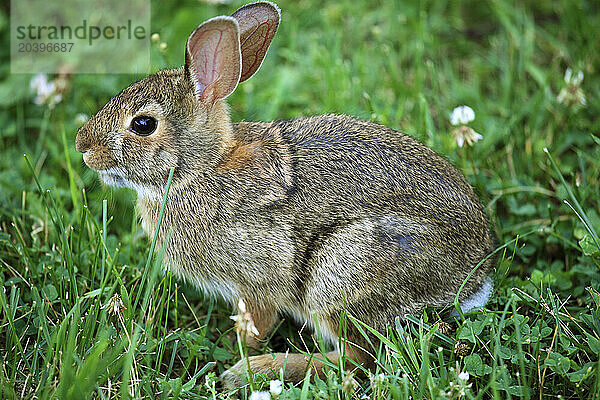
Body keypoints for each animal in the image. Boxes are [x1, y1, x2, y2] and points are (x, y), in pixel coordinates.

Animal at [76, 0, 496, 388]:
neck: (202, 169)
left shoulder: (255, 281)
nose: (83, 146)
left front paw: (238, 353)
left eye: (143, 124)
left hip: (339, 274)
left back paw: (257, 369)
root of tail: (475, 277)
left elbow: (256, 324)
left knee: (356, 360)